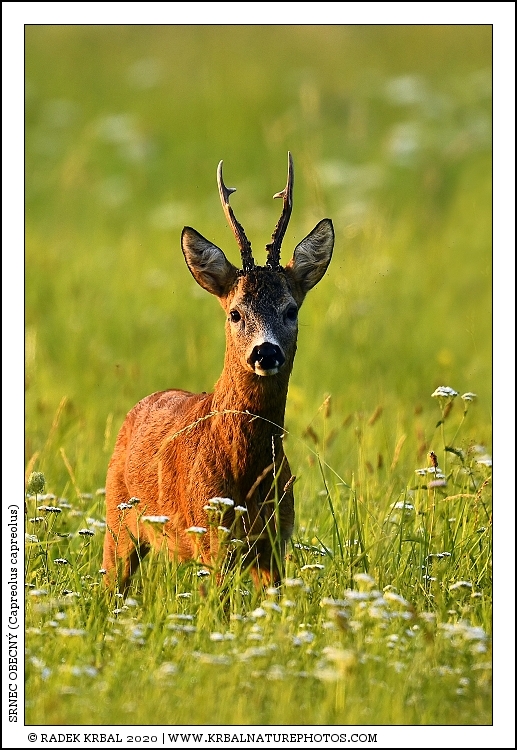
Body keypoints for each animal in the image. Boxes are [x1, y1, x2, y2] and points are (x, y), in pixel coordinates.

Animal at [102, 152, 334, 592]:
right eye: (235, 313)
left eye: (291, 310)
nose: (266, 352)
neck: (246, 471)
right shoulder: (212, 538)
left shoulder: (276, 539)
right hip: (117, 520)